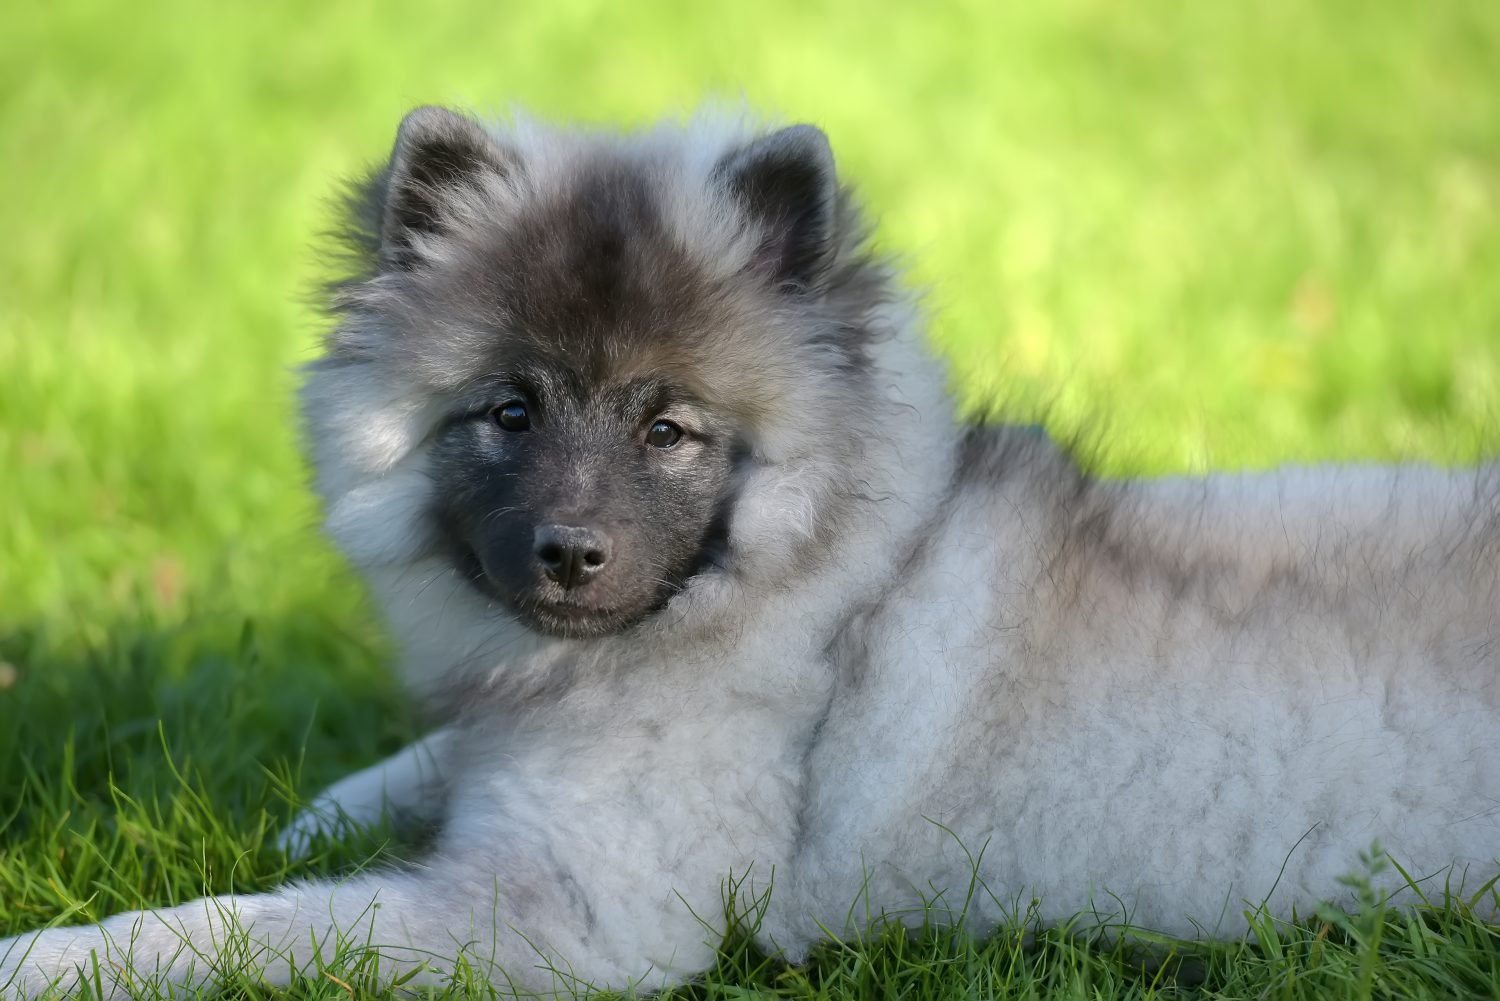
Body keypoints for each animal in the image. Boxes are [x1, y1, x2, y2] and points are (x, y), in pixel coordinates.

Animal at [2, 105, 1500, 996]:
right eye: (509, 411)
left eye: (670, 427)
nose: (570, 553)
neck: (830, 586)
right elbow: (400, 775)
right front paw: (324, 802)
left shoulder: (576, 911)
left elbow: (271, 925)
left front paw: (57, 953)